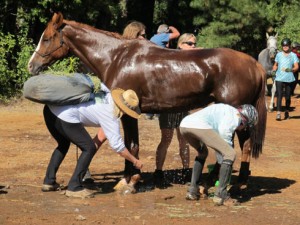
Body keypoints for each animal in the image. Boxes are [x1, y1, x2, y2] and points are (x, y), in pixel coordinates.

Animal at [27, 12, 268, 190]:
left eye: (46, 38)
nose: (31, 65)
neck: (117, 57)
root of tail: (253, 63)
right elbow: (131, 144)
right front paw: (132, 177)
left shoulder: (127, 112)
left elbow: (131, 145)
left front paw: (129, 181)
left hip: (236, 113)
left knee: (239, 144)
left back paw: (225, 181)